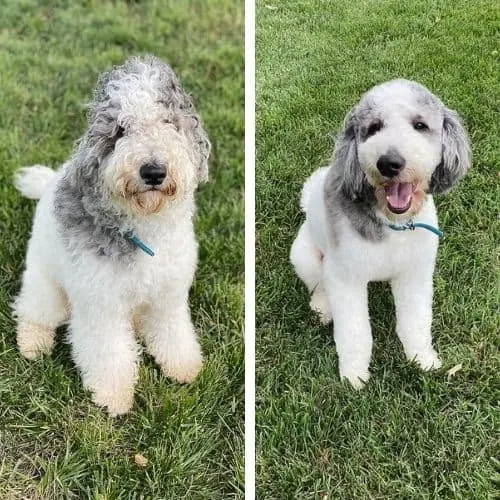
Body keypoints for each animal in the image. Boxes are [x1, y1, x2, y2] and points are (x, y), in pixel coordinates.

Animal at [12, 54, 211, 416]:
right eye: (120, 130)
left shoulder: (168, 295)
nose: (153, 171)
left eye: (168, 121)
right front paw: (114, 394)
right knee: (33, 311)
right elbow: (108, 353)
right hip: (45, 286)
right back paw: (33, 343)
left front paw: (183, 366)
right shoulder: (100, 304)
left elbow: (173, 332)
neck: (145, 228)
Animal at [292, 80, 470, 388]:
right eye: (374, 127)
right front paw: (353, 376)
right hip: (304, 256)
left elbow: (416, 321)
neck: (392, 224)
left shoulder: (415, 274)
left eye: (420, 125)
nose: (389, 163)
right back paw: (323, 308)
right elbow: (354, 333)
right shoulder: (346, 278)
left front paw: (422, 359)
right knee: (317, 285)